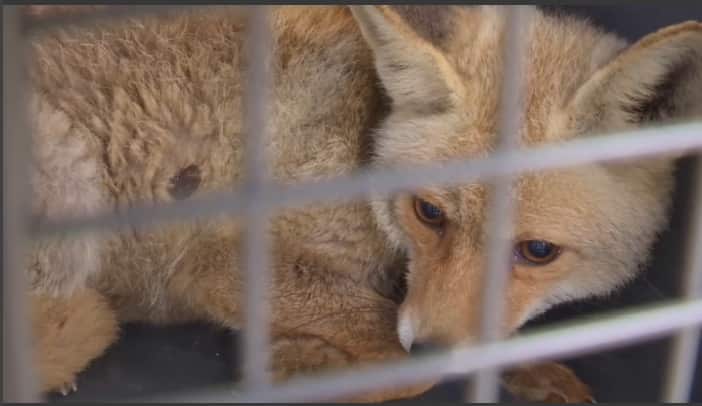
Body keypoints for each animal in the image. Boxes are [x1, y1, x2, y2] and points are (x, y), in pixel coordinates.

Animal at [18, 4, 702, 403]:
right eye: (429, 213)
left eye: (538, 251)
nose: (436, 345)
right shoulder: (217, 264)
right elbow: (401, 362)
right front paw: (304, 369)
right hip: (74, 198)